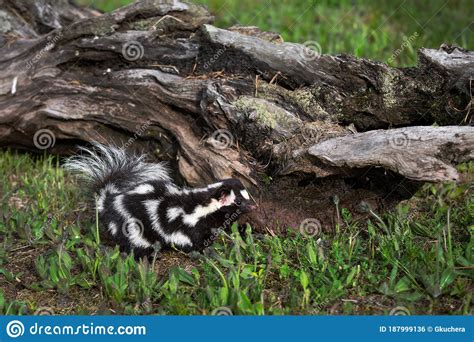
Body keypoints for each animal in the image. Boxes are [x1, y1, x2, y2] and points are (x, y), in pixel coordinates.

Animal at [65, 142, 258, 256]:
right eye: (238, 202)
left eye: (248, 196)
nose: (253, 207)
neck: (203, 205)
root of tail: (109, 199)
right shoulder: (186, 223)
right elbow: (189, 239)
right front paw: (203, 250)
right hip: (131, 222)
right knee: (136, 240)